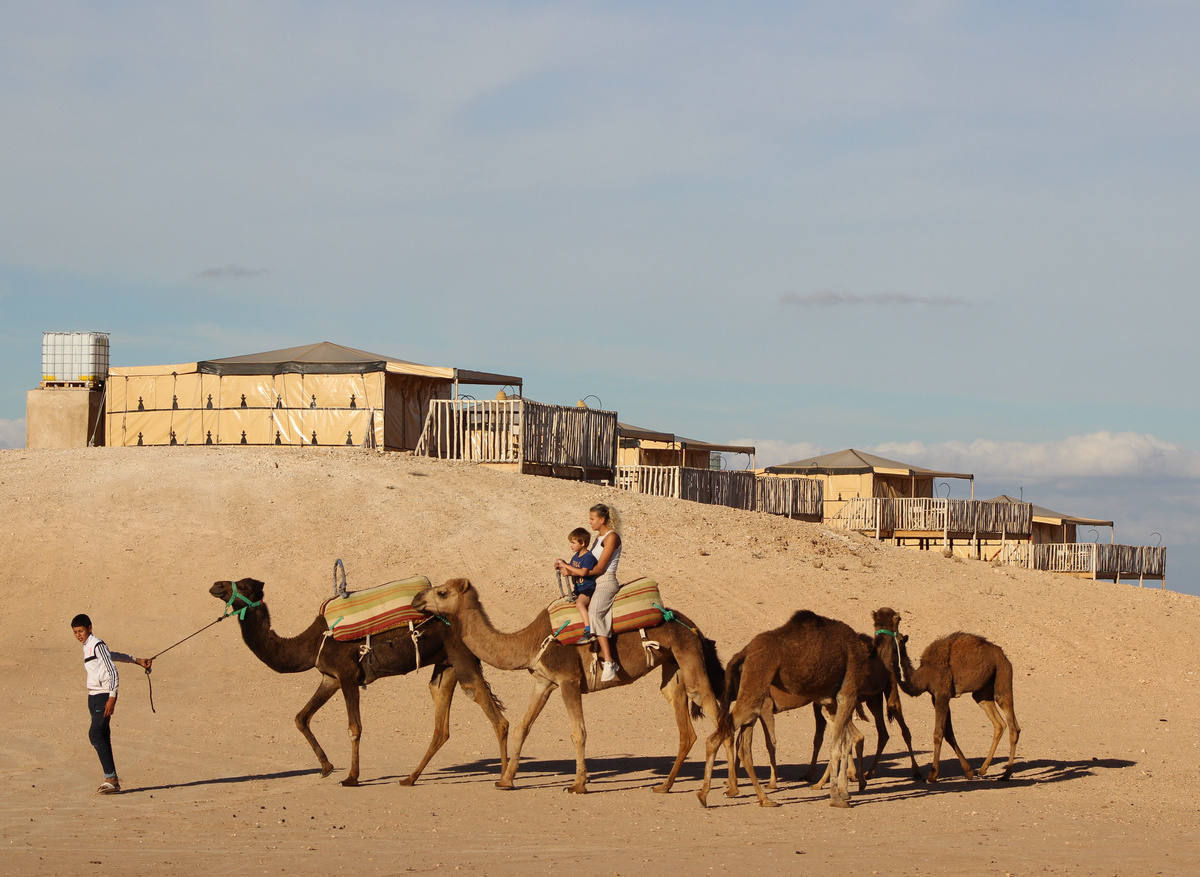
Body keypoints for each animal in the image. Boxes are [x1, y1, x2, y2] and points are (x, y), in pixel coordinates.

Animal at [209, 578, 509, 787]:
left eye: (243, 585)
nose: (216, 585)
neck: (311, 643)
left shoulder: (347, 674)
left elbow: (354, 727)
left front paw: (351, 778)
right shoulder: (330, 677)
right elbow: (301, 717)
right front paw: (326, 767)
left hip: (462, 658)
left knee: (493, 714)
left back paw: (504, 778)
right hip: (446, 665)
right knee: (441, 720)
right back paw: (409, 778)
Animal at [411, 578, 735, 795]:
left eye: (442, 592)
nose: (415, 599)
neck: (529, 642)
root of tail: (695, 628)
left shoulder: (568, 680)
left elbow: (578, 732)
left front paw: (578, 784)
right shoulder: (544, 681)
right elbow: (522, 726)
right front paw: (505, 780)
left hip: (689, 658)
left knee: (717, 715)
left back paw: (729, 789)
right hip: (673, 666)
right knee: (685, 725)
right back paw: (664, 786)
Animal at [698, 610, 871, 809]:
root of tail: (745, 651)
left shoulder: (834, 701)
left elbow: (840, 743)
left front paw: (841, 793)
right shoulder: (845, 695)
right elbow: (835, 746)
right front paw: (837, 797)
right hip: (757, 689)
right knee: (722, 739)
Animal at [754, 607, 922, 791]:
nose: (902, 655)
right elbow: (826, 737)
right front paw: (845, 774)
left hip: (881, 695)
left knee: (898, 724)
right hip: (873, 699)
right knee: (883, 731)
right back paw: (865, 774)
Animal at [894, 613, 1020, 782]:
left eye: (900, 640)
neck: (925, 674)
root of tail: (1004, 656)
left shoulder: (942, 694)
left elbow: (938, 733)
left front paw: (932, 775)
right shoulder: (936, 696)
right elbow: (948, 732)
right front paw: (969, 772)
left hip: (1002, 675)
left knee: (1013, 725)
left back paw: (1006, 774)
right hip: (982, 693)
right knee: (999, 724)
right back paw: (983, 770)